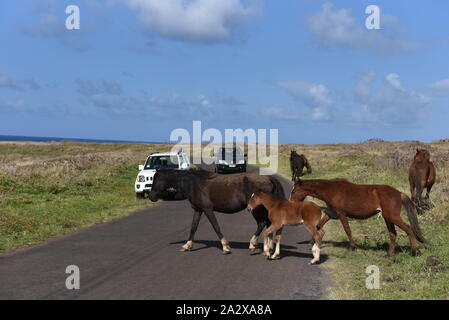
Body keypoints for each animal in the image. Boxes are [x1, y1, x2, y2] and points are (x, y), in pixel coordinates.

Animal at [149, 168, 286, 255]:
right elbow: (193, 227)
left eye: (157, 179)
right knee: (268, 224)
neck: (194, 184)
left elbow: (216, 227)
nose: (151, 197)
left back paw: (253, 244)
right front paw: (187, 245)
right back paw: (269, 247)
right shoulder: (198, 210)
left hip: (256, 209)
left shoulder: (207, 209)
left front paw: (225, 247)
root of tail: (268, 178)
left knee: (262, 223)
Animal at [288, 178, 426, 258]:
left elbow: (347, 230)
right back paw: (390, 255)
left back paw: (415, 251)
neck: (332, 190)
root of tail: (399, 193)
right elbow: (318, 226)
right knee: (393, 234)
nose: (290, 202)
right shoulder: (331, 213)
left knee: (408, 229)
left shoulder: (341, 214)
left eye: (294, 191)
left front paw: (353, 247)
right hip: (388, 218)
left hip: (393, 217)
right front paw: (312, 242)